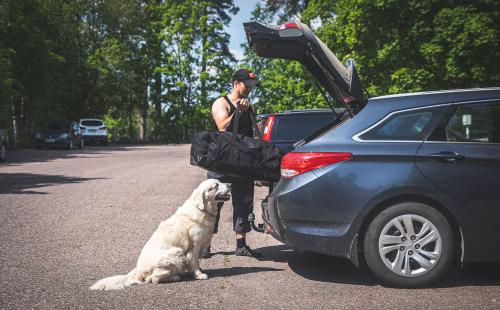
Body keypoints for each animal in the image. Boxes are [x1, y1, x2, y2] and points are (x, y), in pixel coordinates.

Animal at [90, 178, 230, 290]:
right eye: (215, 186)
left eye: (220, 181)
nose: (230, 184)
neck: (201, 210)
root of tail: (137, 270)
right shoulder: (194, 246)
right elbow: (195, 263)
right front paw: (199, 275)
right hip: (176, 253)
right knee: (153, 279)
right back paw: (175, 277)